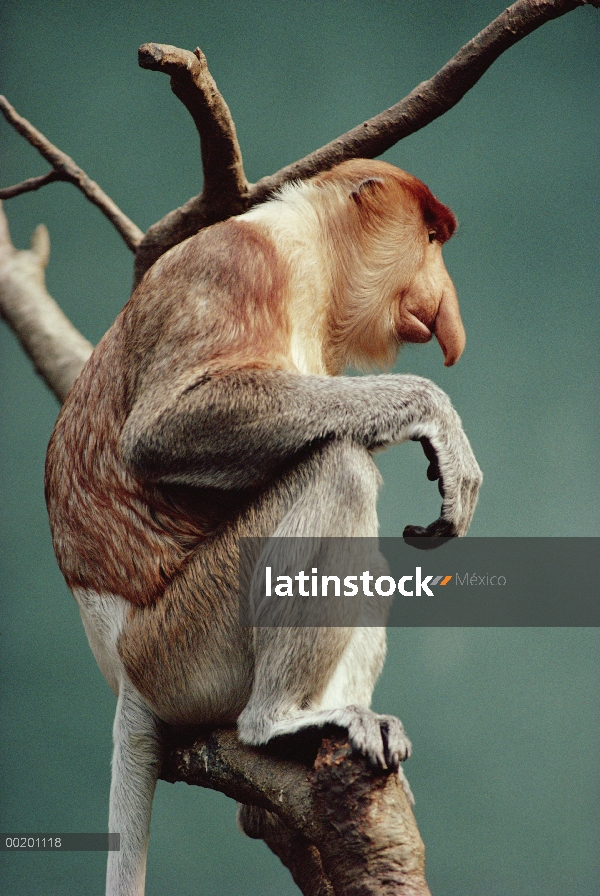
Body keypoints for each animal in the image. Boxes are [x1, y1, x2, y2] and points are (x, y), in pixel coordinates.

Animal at [43, 159, 482, 896]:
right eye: (430, 237)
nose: (447, 310)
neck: (307, 251)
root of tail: (122, 669)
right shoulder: (235, 266)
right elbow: (163, 431)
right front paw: (435, 419)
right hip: (182, 649)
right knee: (338, 465)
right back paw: (280, 724)